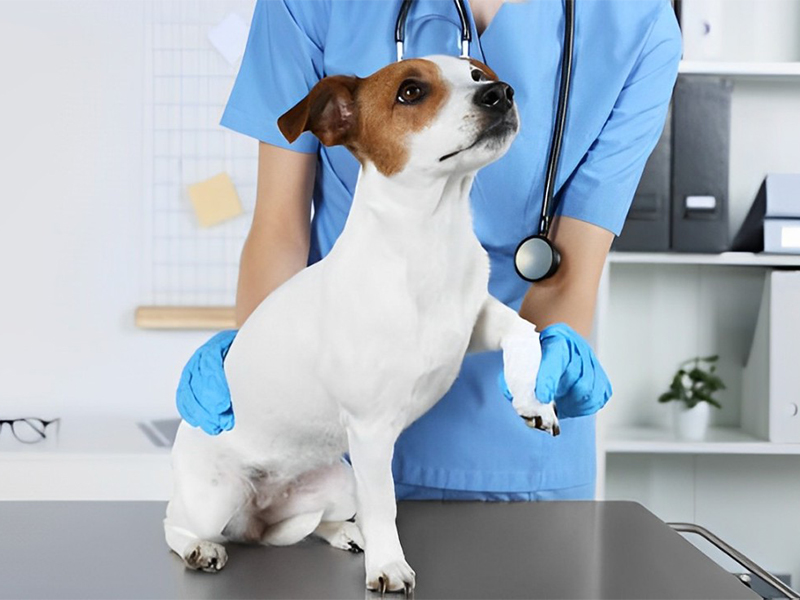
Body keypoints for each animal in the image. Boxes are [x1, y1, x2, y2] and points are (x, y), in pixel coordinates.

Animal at [166, 55, 560, 596]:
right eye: (410, 91)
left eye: (477, 75)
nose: (500, 93)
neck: (429, 242)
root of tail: (256, 516)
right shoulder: (373, 433)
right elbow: (385, 506)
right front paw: (389, 565)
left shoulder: (473, 320)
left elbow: (523, 330)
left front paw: (535, 401)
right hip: (216, 496)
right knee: (175, 522)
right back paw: (200, 548)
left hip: (337, 484)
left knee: (307, 523)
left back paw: (343, 533)